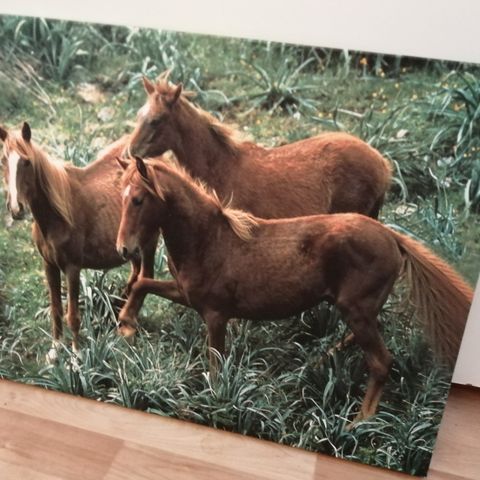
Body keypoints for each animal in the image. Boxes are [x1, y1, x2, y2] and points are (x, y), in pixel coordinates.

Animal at [0, 123, 158, 362]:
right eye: (3, 160)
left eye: (26, 162)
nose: (16, 208)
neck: (56, 215)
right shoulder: (49, 266)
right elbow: (56, 309)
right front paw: (55, 350)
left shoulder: (72, 269)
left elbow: (72, 315)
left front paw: (76, 356)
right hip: (130, 248)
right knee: (135, 274)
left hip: (149, 243)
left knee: (145, 276)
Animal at [116, 155, 473, 423]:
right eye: (121, 197)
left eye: (138, 200)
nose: (124, 249)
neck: (208, 240)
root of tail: (390, 237)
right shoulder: (188, 295)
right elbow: (141, 283)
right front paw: (126, 324)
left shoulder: (215, 315)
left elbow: (216, 366)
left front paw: (213, 402)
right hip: (361, 310)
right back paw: (320, 363)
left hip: (356, 310)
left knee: (381, 362)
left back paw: (359, 422)